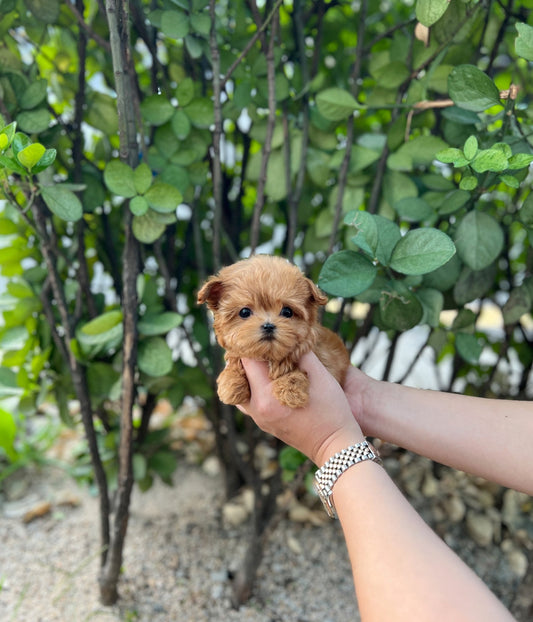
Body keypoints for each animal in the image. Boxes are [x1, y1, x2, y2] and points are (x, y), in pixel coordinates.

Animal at [195, 255, 350, 410]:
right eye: (244, 312)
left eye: (287, 312)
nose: (268, 326)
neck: (268, 357)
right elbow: (233, 362)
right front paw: (231, 383)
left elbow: (297, 372)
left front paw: (291, 390)